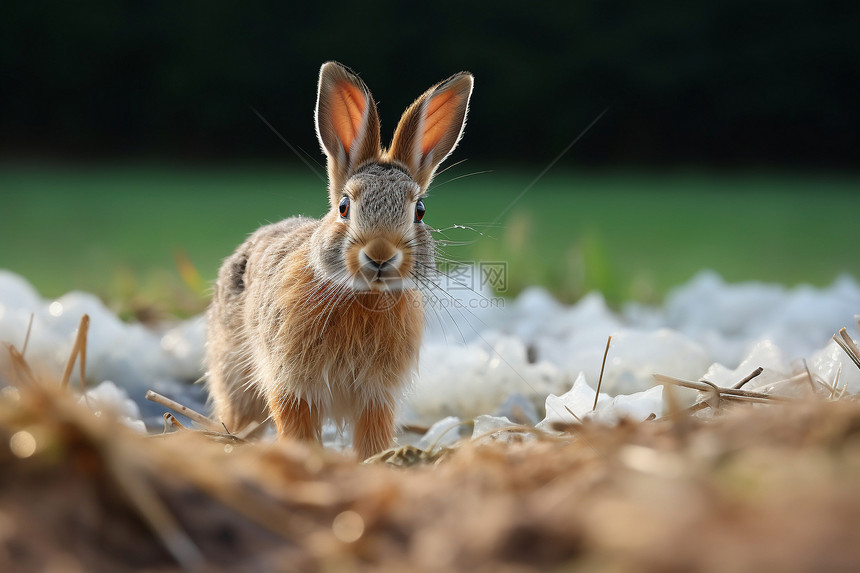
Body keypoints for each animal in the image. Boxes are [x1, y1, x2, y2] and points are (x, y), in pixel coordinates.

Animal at [207, 60, 478, 458]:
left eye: (420, 211)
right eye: (344, 207)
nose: (380, 255)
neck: (362, 295)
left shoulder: (377, 395)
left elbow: (372, 435)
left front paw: (375, 461)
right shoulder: (291, 384)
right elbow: (296, 425)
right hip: (233, 374)